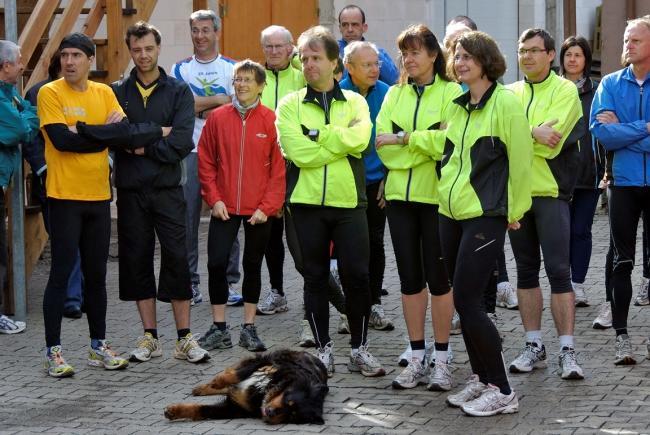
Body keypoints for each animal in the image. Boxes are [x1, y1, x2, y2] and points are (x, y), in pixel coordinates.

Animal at [165, 350, 326, 426]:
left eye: (292, 416)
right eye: (288, 400)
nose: (271, 413)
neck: (265, 391)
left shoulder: (234, 409)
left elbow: (202, 410)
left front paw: (175, 412)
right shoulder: (266, 362)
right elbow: (235, 374)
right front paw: (217, 381)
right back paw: (205, 387)